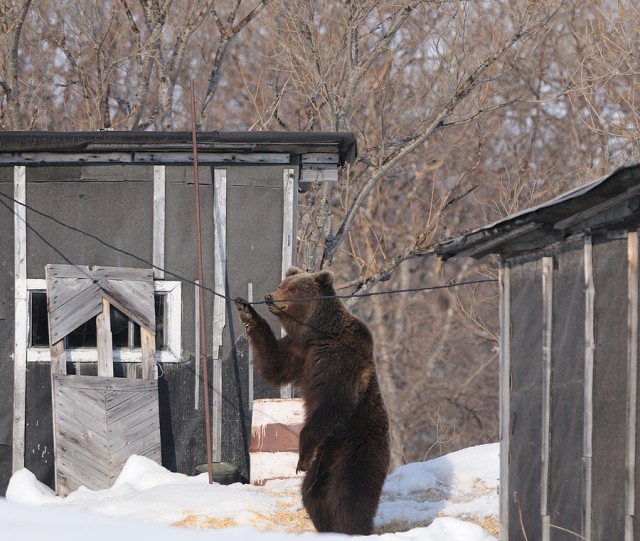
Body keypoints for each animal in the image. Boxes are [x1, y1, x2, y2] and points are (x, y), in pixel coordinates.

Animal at [232, 264, 388, 532]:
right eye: (282, 284)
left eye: (293, 289)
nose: (270, 296)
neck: (317, 333)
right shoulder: (299, 353)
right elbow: (273, 364)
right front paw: (246, 310)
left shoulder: (340, 360)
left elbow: (334, 403)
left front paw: (300, 457)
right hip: (325, 457)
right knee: (312, 492)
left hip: (358, 444)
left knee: (349, 493)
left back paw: (352, 527)